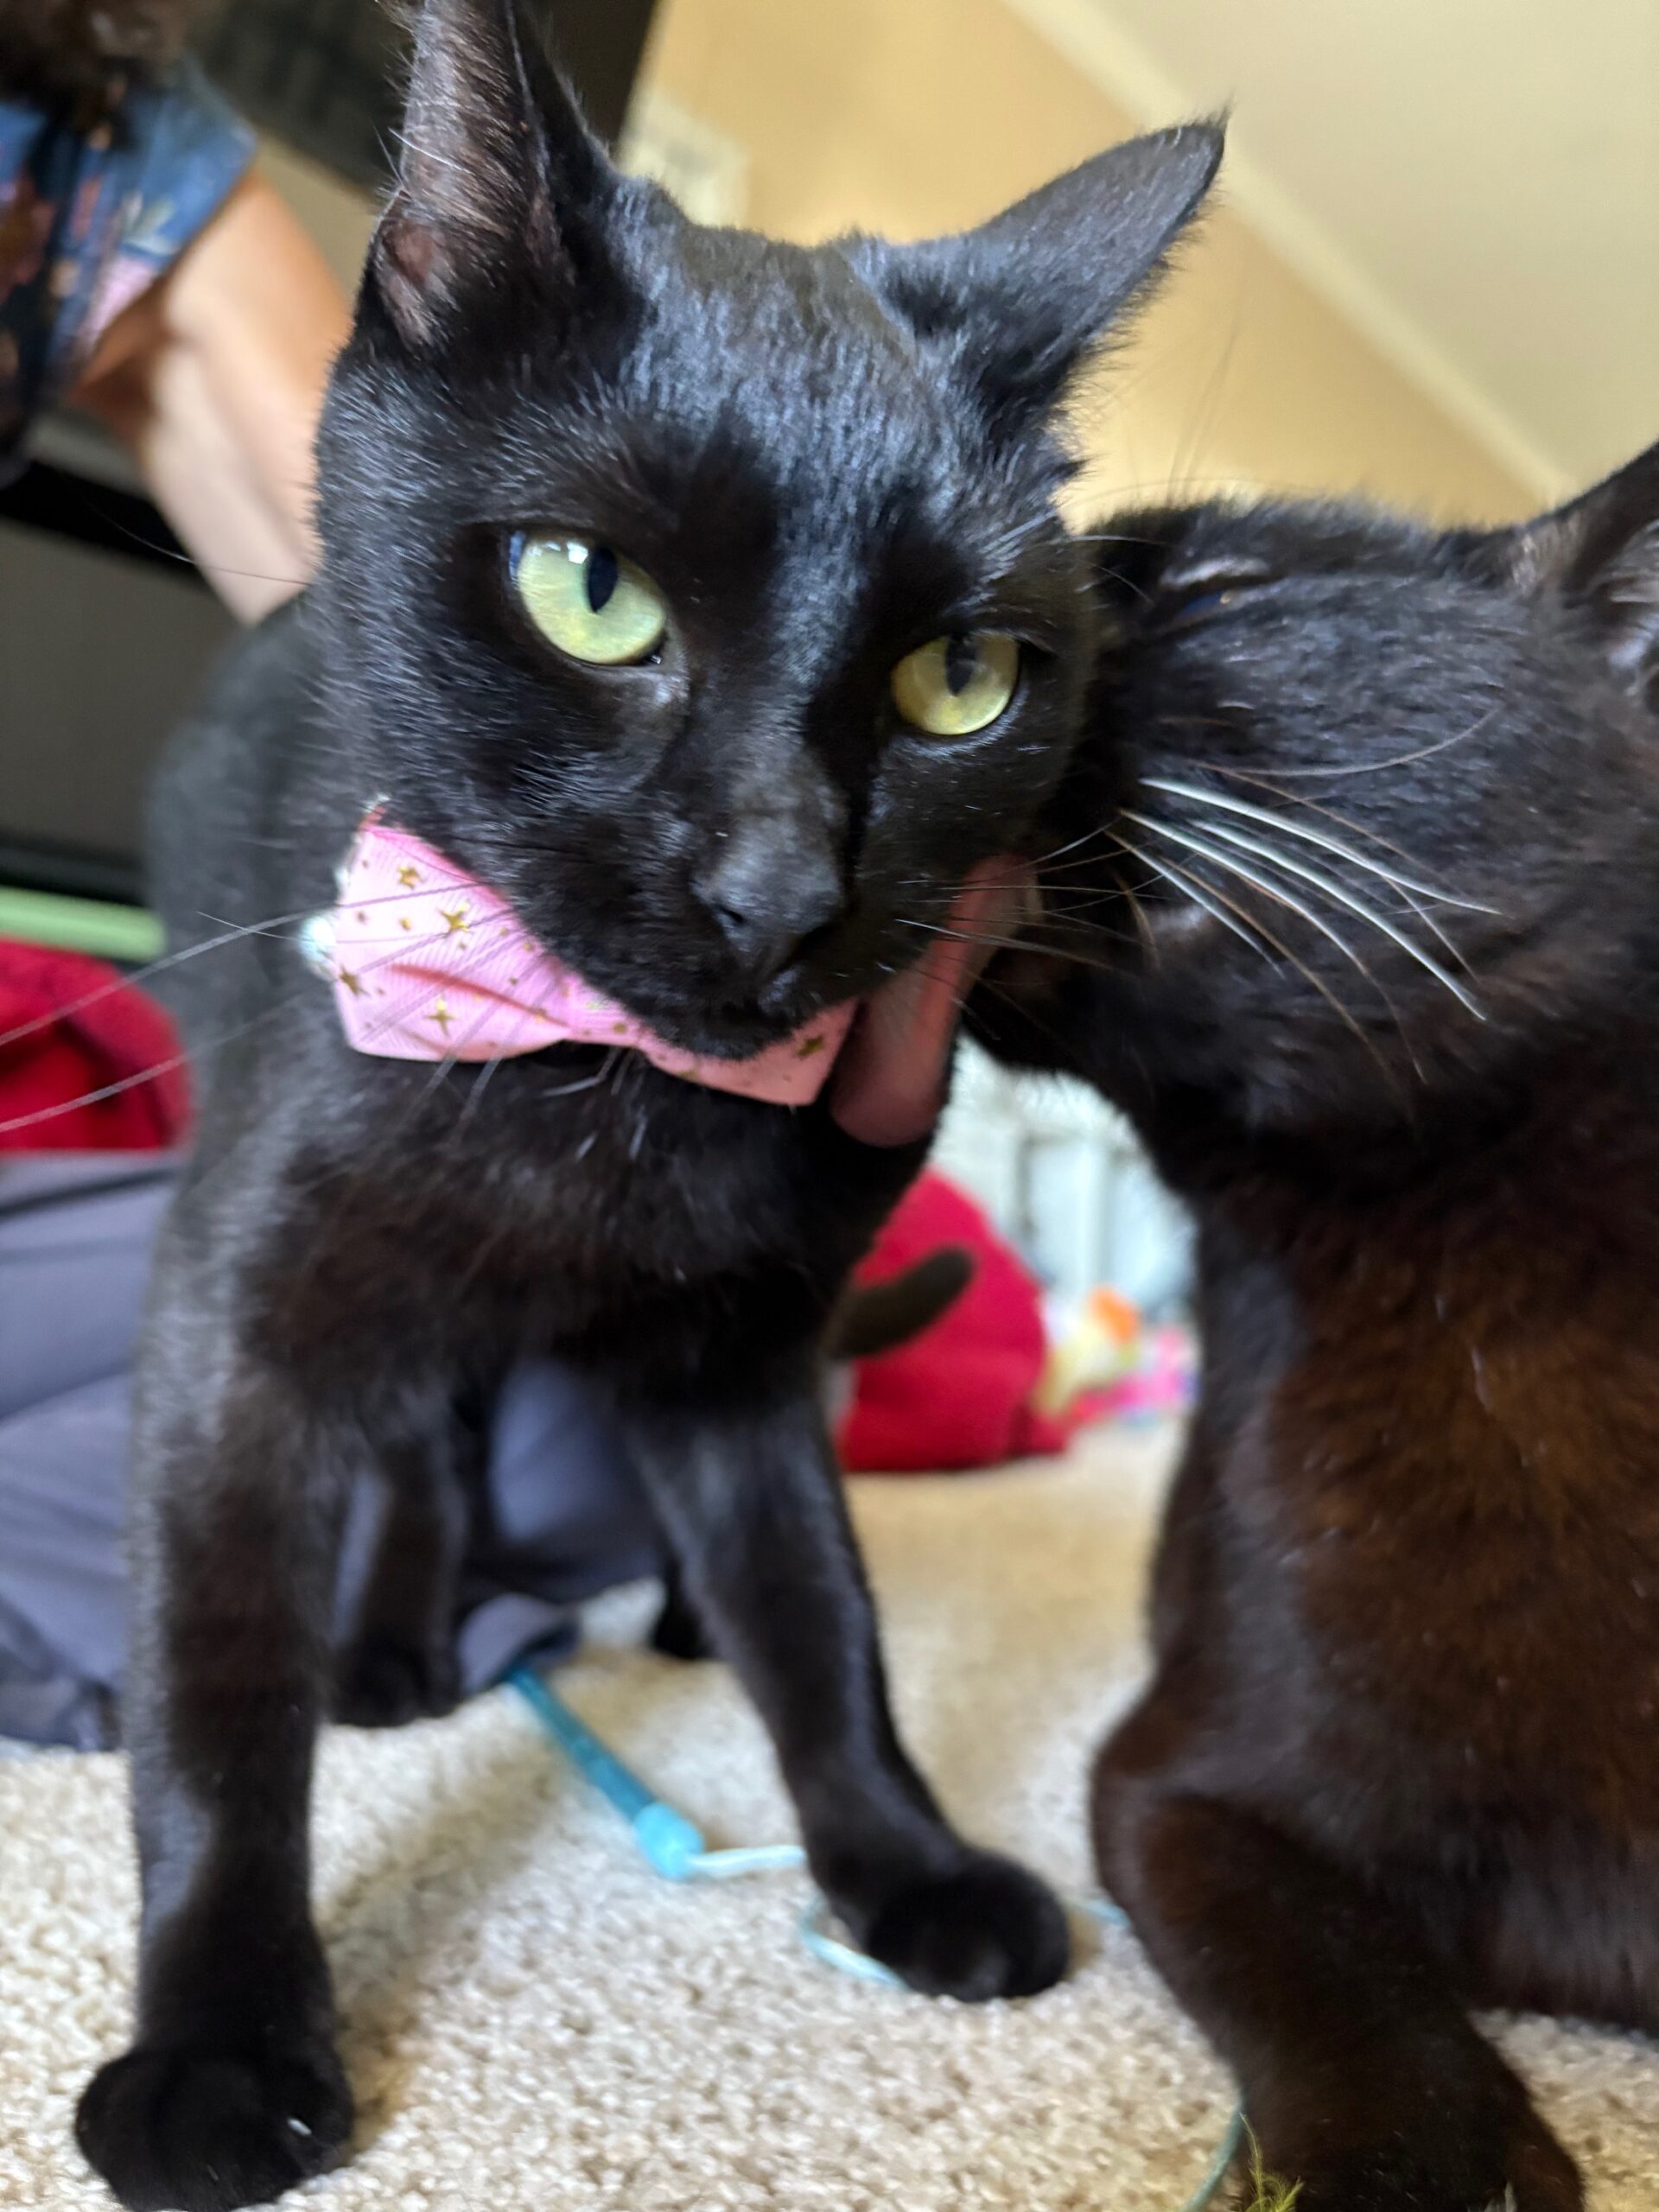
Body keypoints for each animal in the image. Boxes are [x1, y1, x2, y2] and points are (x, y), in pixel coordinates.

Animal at [69, 1, 1221, 2204]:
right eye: (588, 592)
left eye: (963, 678)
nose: (779, 884)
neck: (616, 1101)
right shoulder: (239, 1316)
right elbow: (214, 1676)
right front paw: (221, 2036)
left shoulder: (745, 1353)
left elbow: (820, 1607)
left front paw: (904, 1861)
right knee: (427, 1428)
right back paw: (398, 1638)